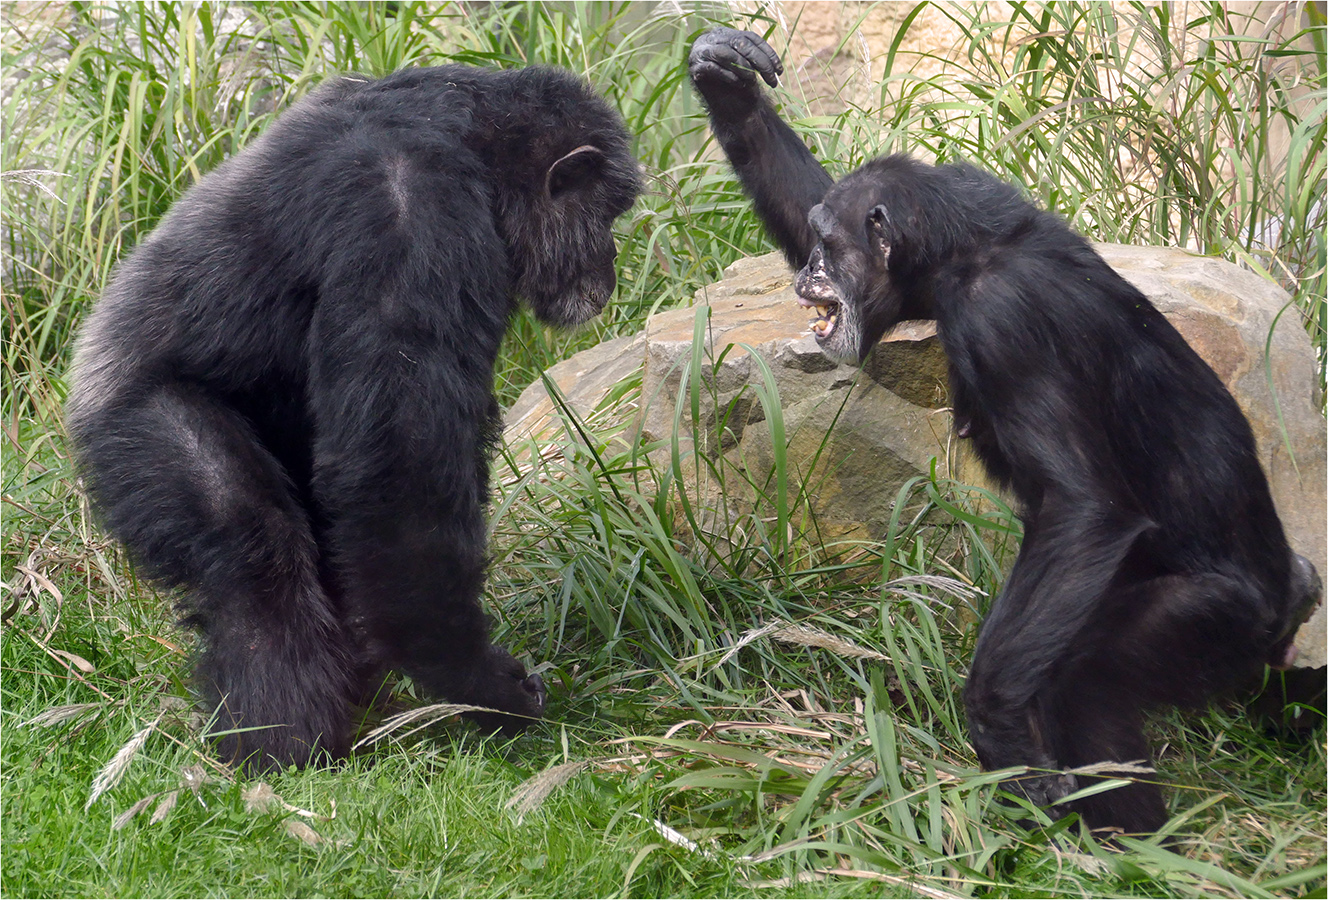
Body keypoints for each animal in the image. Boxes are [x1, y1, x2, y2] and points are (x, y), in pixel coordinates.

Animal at [67, 65, 642, 775]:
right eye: (608, 212)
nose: (611, 258)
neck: (476, 148)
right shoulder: (410, 219)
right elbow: (404, 468)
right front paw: (482, 682)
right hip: (139, 417)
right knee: (250, 549)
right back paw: (283, 744)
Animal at [690, 26, 1322, 838]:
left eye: (830, 251)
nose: (807, 280)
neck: (959, 255)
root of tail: (1286, 595)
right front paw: (727, 76)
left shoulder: (1004, 322)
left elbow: (1082, 506)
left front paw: (997, 732)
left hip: (1220, 619)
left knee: (1091, 680)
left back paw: (1124, 843)